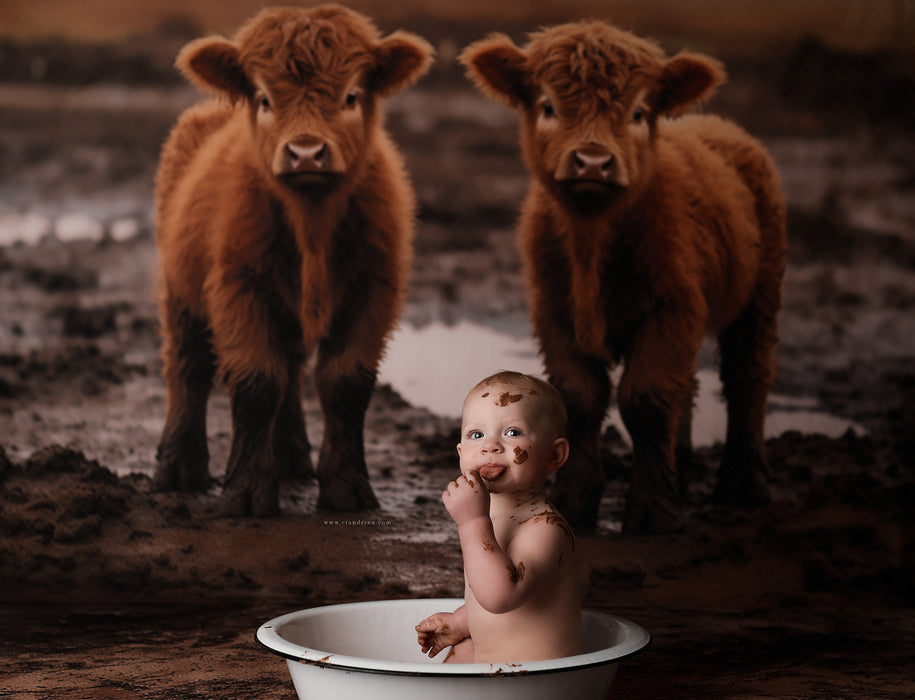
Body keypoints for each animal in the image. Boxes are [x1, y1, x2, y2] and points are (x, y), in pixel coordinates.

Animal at [154, 5, 433, 516]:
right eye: (264, 98)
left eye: (351, 95)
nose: (306, 152)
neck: (312, 225)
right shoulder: (238, 287)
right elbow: (255, 382)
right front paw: (246, 493)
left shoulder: (374, 292)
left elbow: (345, 383)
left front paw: (346, 490)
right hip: (179, 289)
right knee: (188, 367)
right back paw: (179, 469)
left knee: (288, 371)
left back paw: (290, 460)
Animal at [460, 21, 786, 532]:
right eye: (548, 105)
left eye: (638, 111)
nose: (593, 161)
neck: (592, 239)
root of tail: (721, 126)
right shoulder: (553, 311)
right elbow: (580, 397)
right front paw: (576, 502)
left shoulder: (671, 308)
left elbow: (646, 398)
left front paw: (653, 512)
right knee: (691, 384)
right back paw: (683, 466)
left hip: (759, 294)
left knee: (747, 373)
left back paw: (744, 483)